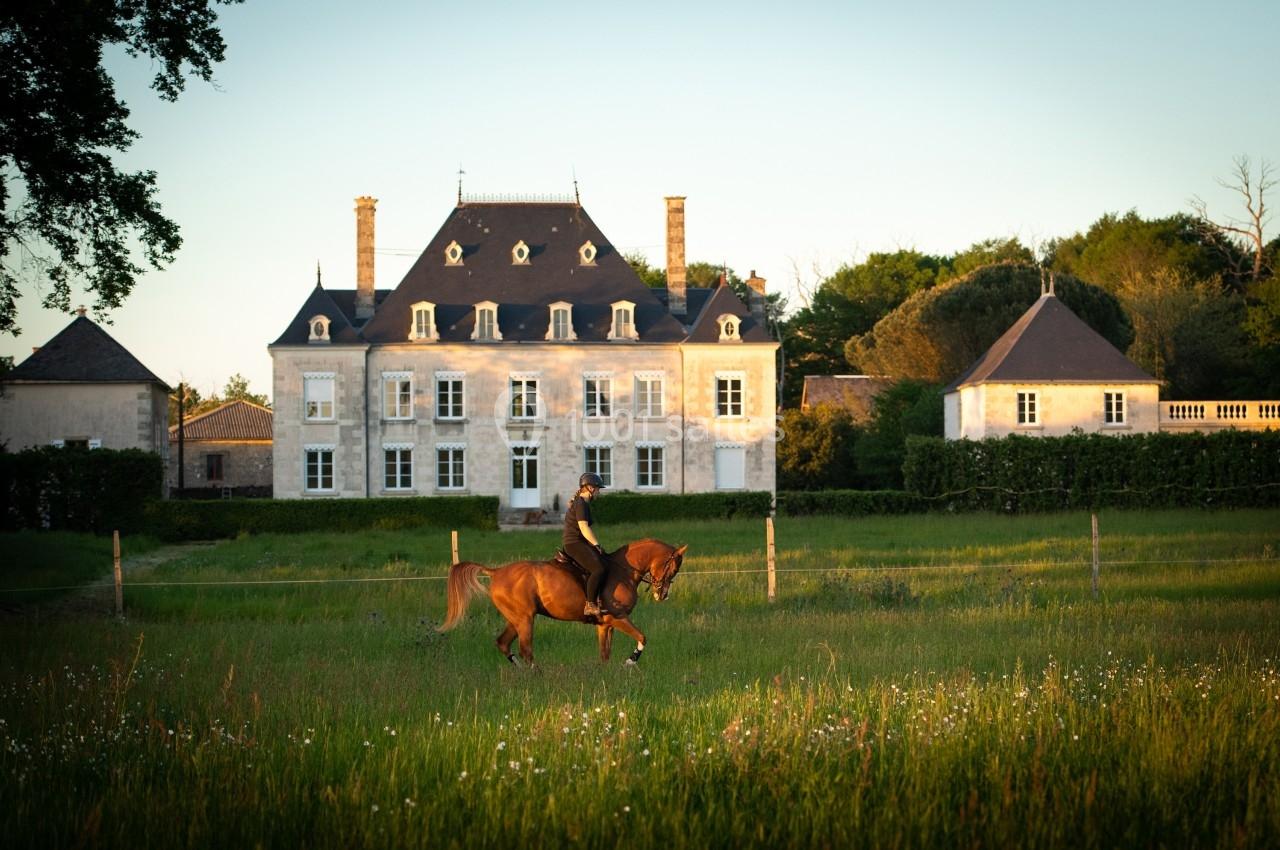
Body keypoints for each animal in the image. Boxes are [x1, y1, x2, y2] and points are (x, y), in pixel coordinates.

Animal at [439, 539, 687, 666]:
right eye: (673, 568)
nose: (662, 595)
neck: (622, 570)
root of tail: (496, 571)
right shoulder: (617, 618)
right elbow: (642, 637)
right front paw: (631, 661)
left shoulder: (605, 625)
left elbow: (604, 654)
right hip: (525, 619)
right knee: (525, 649)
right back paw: (536, 676)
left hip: (516, 618)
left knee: (503, 644)